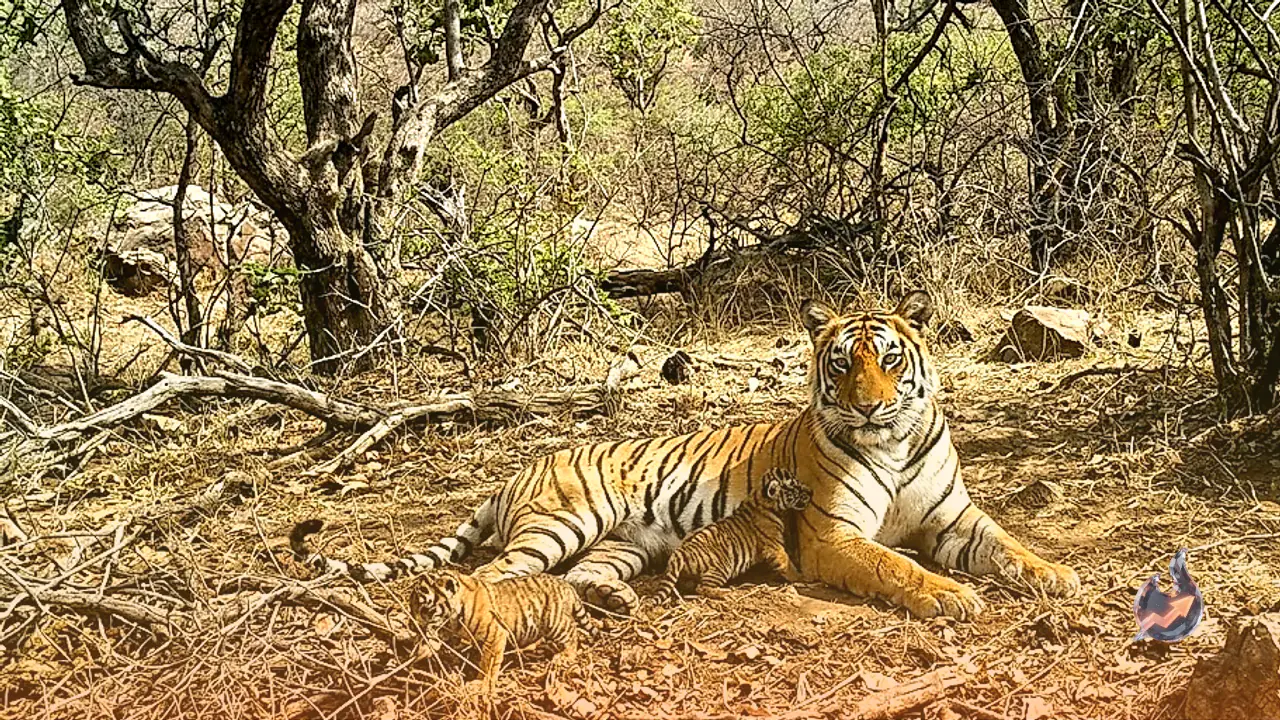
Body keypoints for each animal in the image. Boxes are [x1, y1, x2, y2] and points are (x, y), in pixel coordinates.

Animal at [408, 568, 596, 693]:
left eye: (424, 609)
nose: (411, 626)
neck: (453, 617)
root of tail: (567, 585)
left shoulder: (494, 635)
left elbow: (488, 664)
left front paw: (482, 684)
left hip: (555, 623)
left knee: (572, 634)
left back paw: (565, 656)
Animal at [652, 467, 811, 604]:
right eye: (795, 488)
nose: (811, 491)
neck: (761, 497)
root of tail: (679, 552)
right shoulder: (774, 547)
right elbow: (788, 564)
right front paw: (802, 579)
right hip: (722, 567)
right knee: (702, 587)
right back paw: (726, 593)